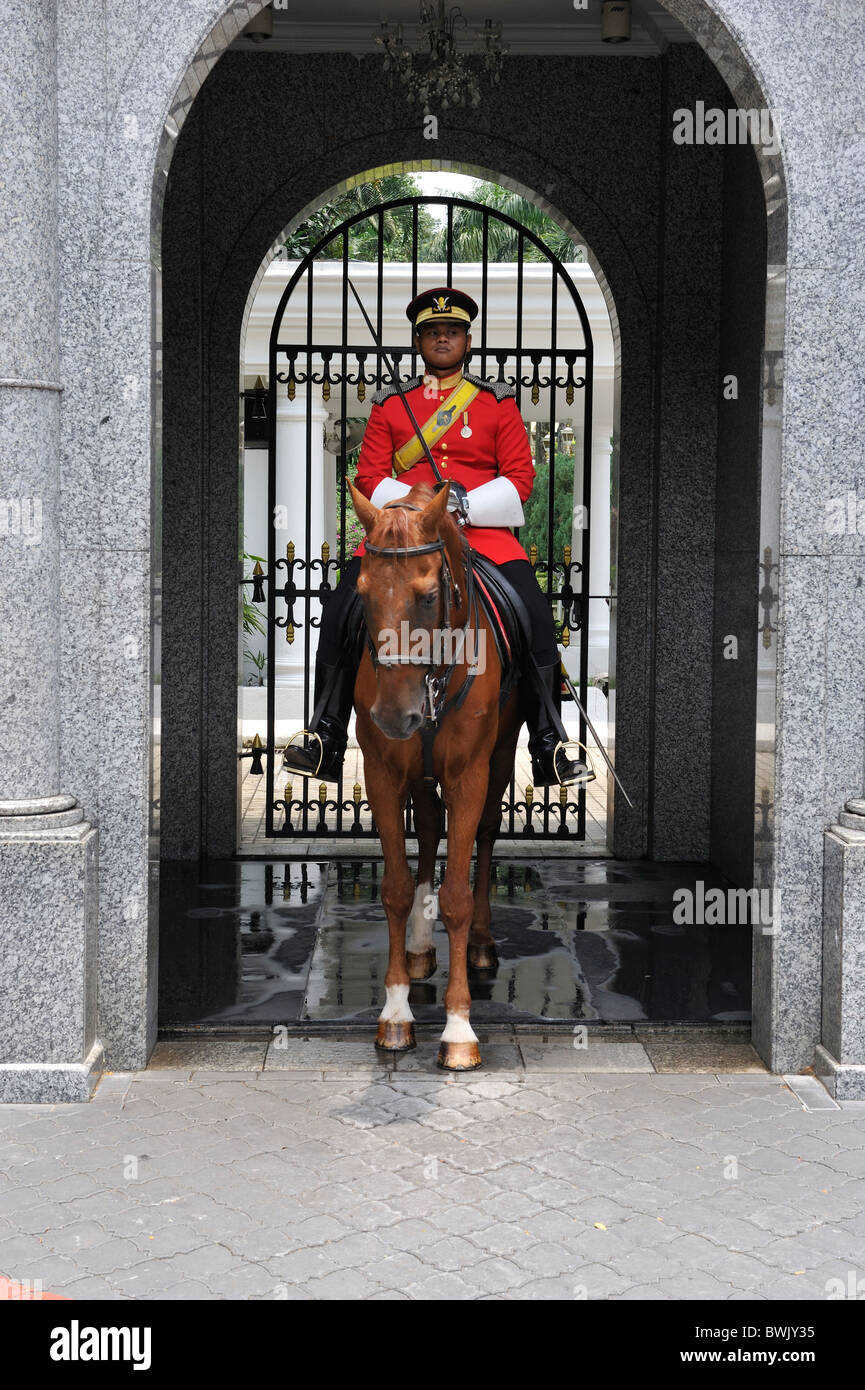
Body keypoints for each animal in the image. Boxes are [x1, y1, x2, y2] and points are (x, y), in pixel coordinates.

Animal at [347, 480, 522, 1073]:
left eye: (426, 596)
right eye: (363, 592)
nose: (393, 717)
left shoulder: (470, 774)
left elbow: (458, 897)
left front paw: (459, 1026)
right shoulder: (381, 772)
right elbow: (397, 888)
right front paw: (397, 1011)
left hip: (500, 759)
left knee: (486, 837)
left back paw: (483, 944)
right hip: (418, 774)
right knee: (425, 833)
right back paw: (422, 947)